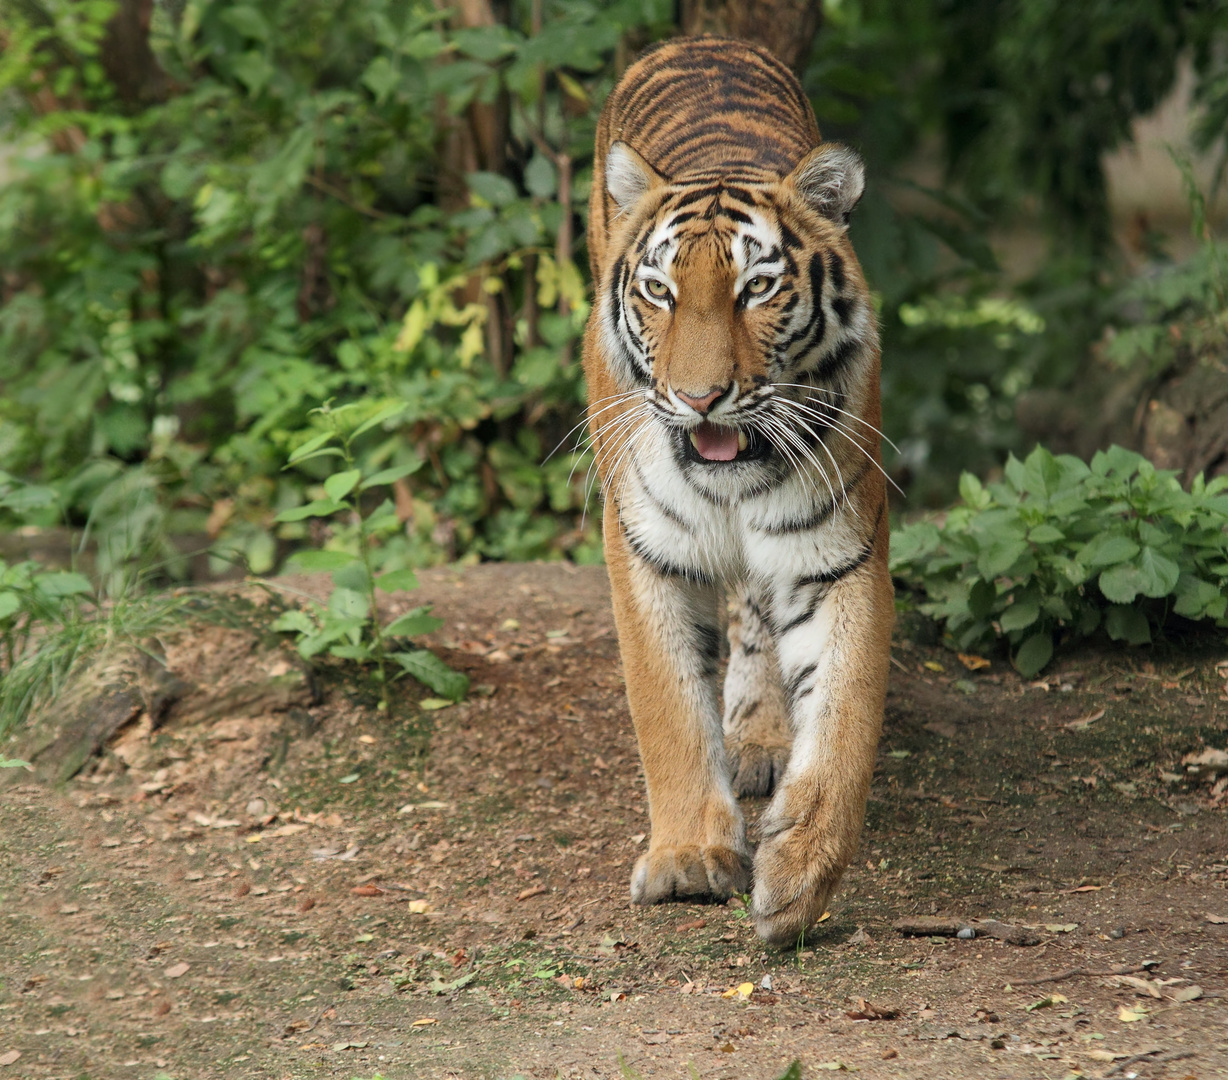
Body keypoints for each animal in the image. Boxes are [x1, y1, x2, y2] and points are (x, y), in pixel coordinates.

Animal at [579, 33, 889, 943]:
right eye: (659, 291)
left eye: (758, 287)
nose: (700, 397)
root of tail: (702, 39)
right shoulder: (642, 549)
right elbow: (668, 709)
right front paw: (689, 859)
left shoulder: (839, 555)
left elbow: (846, 714)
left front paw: (801, 876)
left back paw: (761, 739)